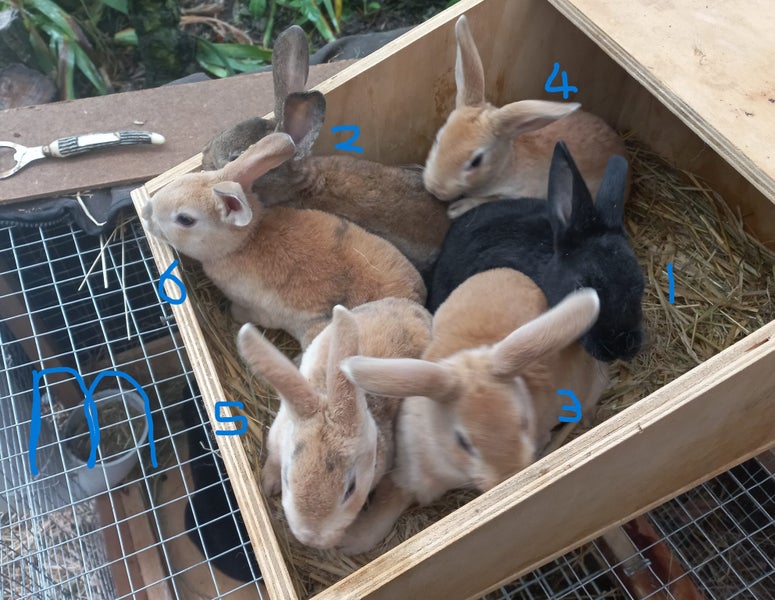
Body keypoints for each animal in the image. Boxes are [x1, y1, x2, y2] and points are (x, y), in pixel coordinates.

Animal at [141, 132, 426, 349]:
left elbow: (245, 314)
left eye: (185, 219)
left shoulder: (256, 308)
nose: (146, 213)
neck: (245, 241)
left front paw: (232, 314)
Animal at [336, 269, 609, 554]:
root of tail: (505, 272)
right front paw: (349, 540)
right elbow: (380, 518)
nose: (508, 478)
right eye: (463, 442)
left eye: (523, 422)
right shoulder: (407, 475)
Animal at [423, 15, 627, 219]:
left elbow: (488, 200)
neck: (503, 167)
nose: (435, 189)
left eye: (476, 161)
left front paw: (456, 209)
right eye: (438, 139)